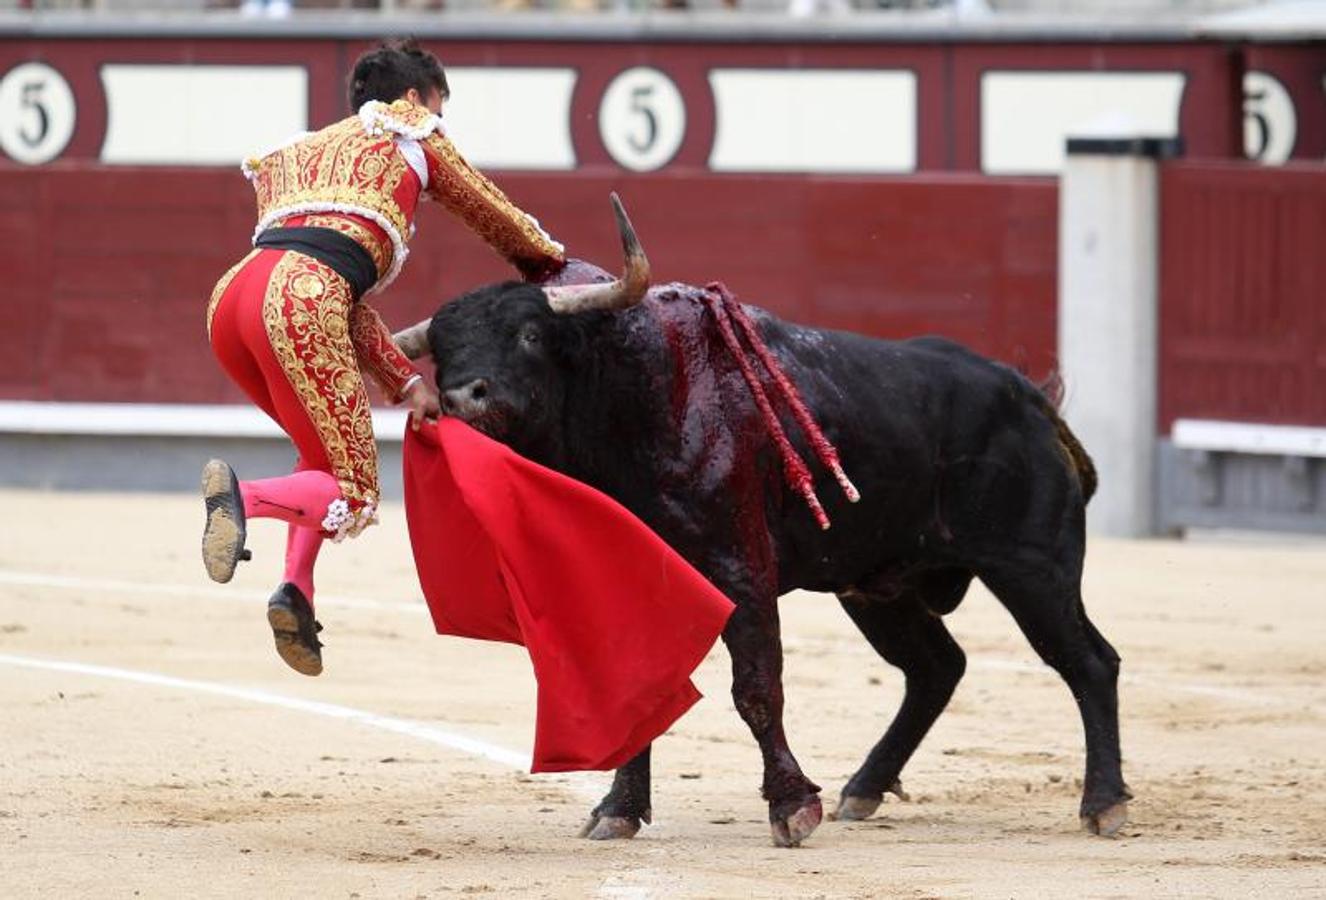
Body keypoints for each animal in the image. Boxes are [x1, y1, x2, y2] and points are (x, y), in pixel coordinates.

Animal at [400, 237, 1129, 843]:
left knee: (1088, 662)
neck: (636, 400)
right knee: (936, 668)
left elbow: (756, 686)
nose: (463, 396)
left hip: (1032, 567)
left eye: (528, 332)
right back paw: (864, 789)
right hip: (878, 586)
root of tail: (1027, 395)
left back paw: (1104, 804)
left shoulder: (741, 569)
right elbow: (637, 691)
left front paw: (791, 807)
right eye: (443, 349)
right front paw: (617, 811)